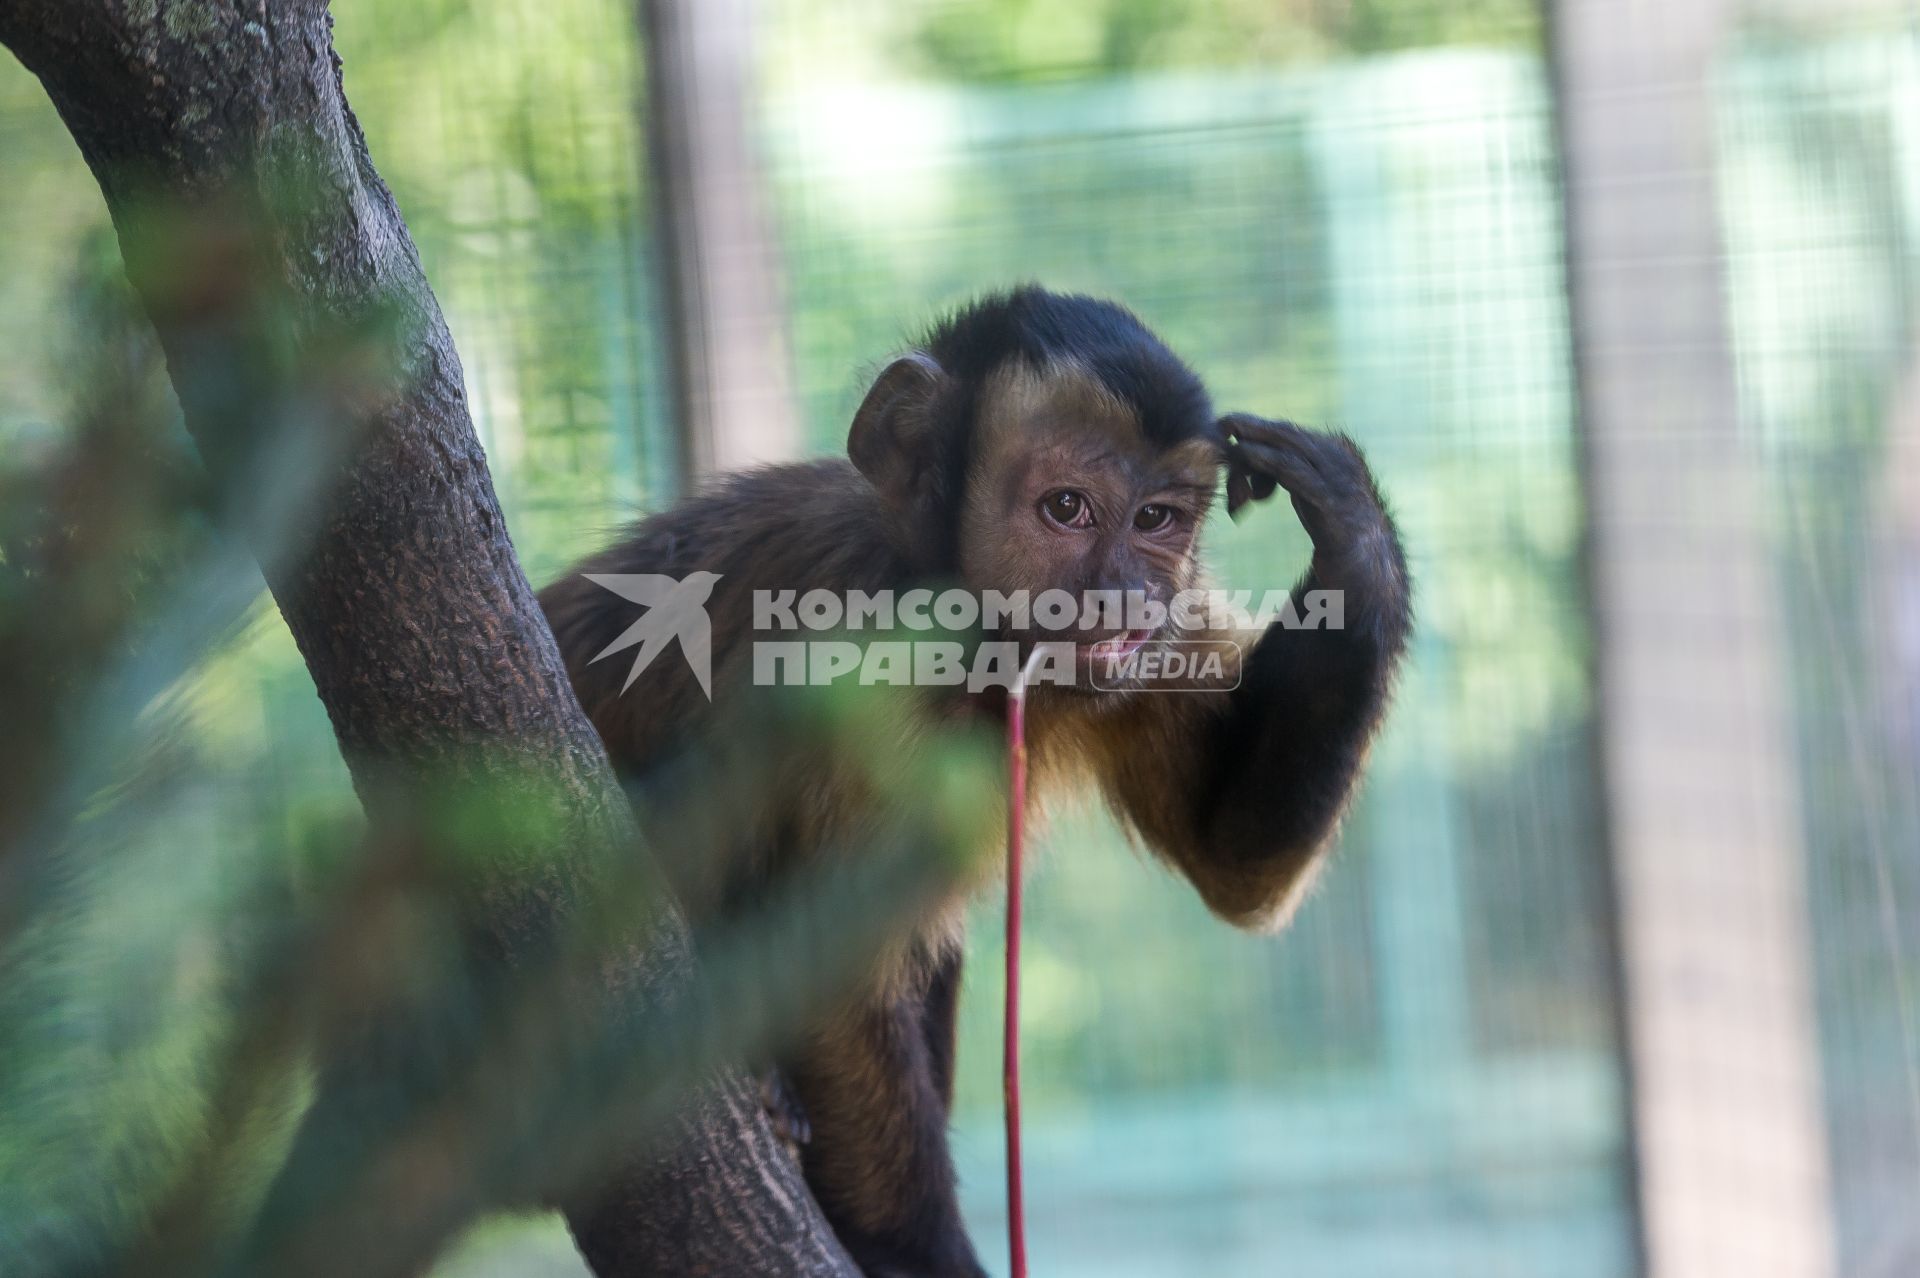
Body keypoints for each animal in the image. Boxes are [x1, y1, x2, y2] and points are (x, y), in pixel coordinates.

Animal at [541, 287, 1413, 1274]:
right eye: (1066, 508)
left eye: (1156, 520)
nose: (1124, 597)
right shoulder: (859, 668)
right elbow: (832, 970)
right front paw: (916, 1256)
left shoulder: (1167, 635)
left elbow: (1233, 863)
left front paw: (1352, 536)